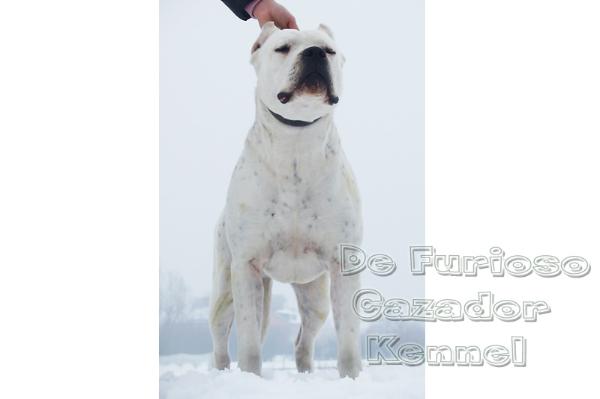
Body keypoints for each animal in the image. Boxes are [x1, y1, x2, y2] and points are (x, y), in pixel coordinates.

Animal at [209, 23, 364, 380]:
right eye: (283, 48)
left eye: (329, 50)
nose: (314, 53)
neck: (295, 140)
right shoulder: (246, 265)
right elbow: (249, 340)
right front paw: (251, 379)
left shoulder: (343, 264)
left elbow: (348, 336)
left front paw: (351, 378)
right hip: (226, 289)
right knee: (221, 338)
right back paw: (222, 373)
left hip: (315, 298)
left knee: (302, 341)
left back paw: (306, 374)